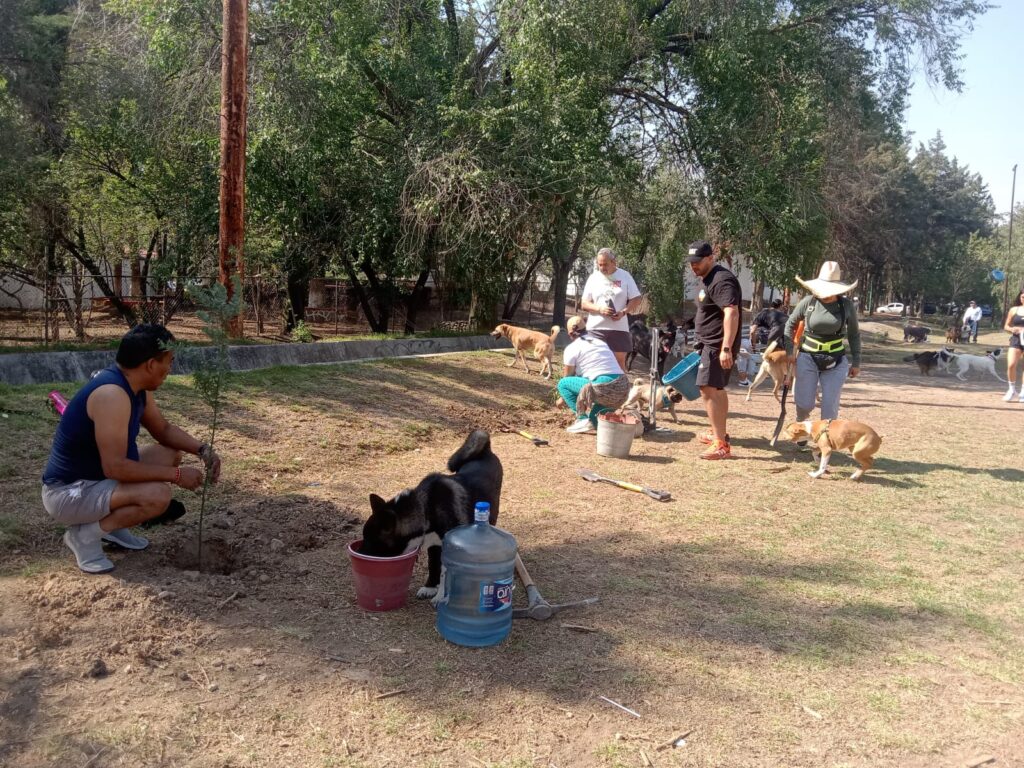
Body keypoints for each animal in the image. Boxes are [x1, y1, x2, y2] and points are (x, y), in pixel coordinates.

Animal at [362, 434, 501, 602]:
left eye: (370, 542)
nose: (359, 553)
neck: (427, 508)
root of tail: (486, 449)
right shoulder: (434, 545)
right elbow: (433, 565)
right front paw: (430, 587)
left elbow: (445, 572)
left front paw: (442, 596)